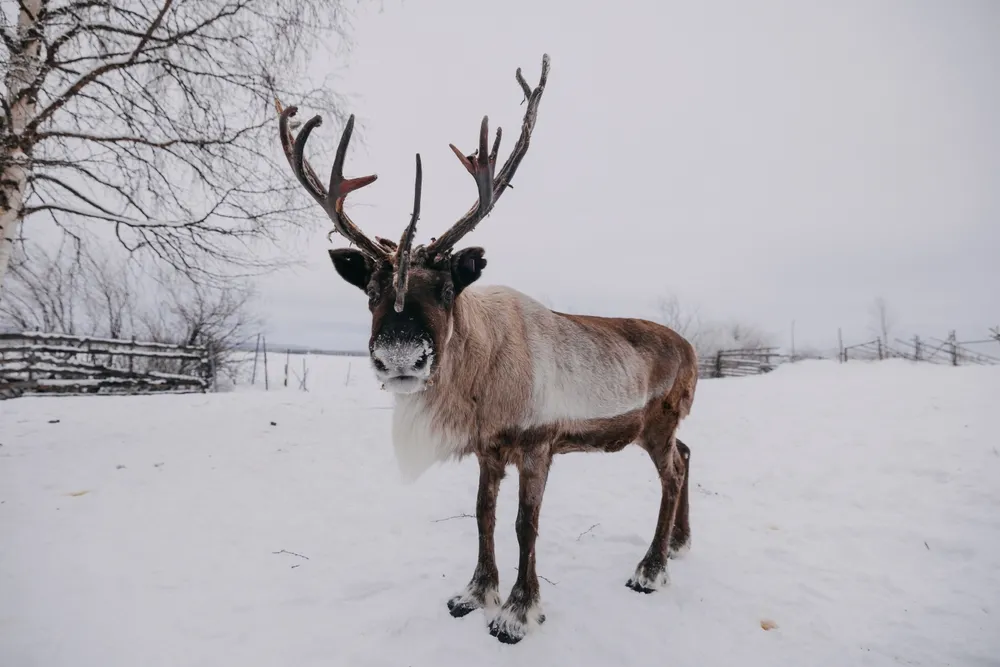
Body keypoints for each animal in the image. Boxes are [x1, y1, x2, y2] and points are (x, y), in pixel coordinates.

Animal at [276, 54, 697, 645]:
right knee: (688, 454)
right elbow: (482, 514)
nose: (401, 357)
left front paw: (518, 612)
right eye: (371, 291)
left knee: (674, 472)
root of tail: (692, 347)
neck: (481, 372)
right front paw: (474, 593)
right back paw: (678, 546)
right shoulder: (488, 447)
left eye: (448, 288)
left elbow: (525, 524)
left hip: (657, 423)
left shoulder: (538, 444)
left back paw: (650, 569)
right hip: (657, 429)